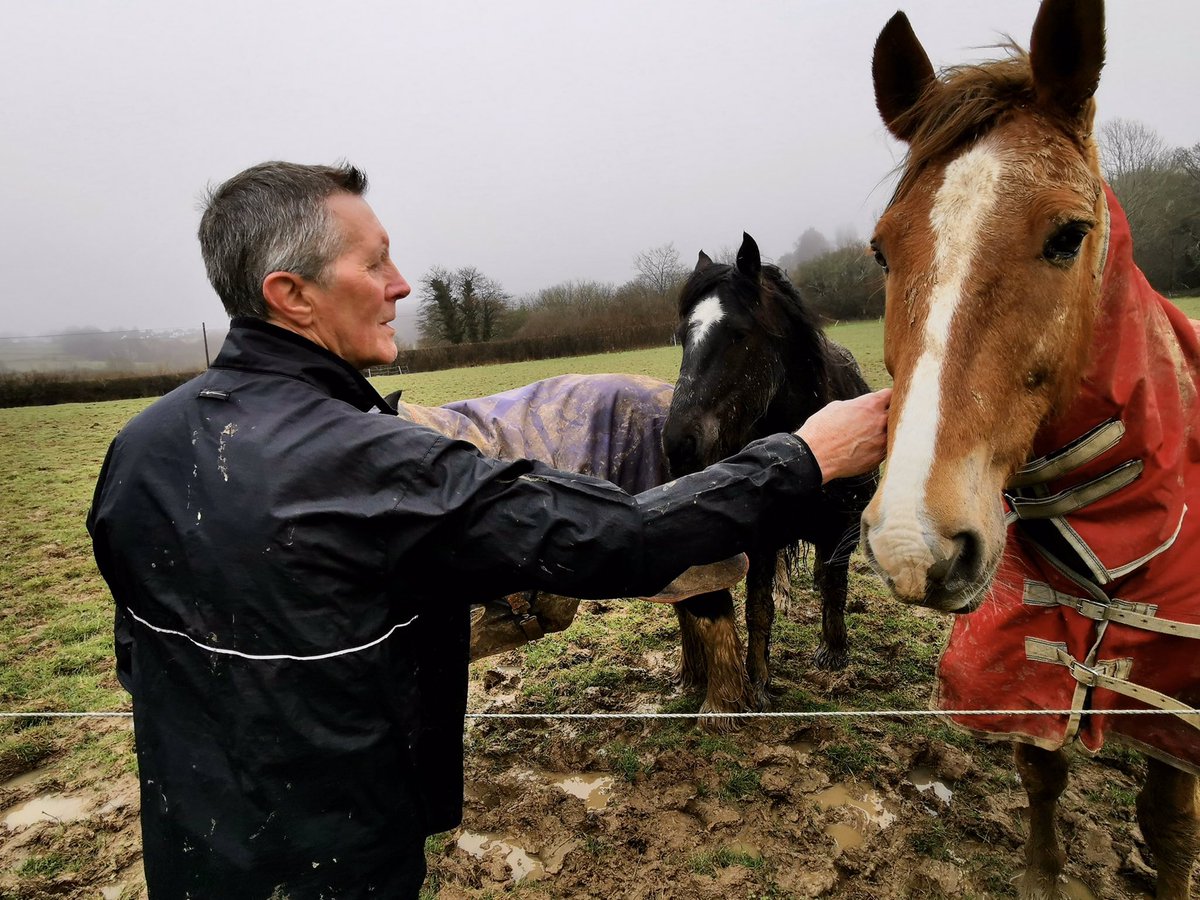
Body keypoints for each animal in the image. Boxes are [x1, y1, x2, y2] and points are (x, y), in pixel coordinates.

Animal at [662, 234, 878, 724]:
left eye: (738, 334)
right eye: (683, 337)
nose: (677, 443)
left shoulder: (839, 528)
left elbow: (835, 585)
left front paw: (834, 652)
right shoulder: (761, 540)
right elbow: (757, 611)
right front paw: (758, 680)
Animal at [864, 1, 1200, 900]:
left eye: (1069, 235)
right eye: (881, 250)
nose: (914, 543)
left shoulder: (1174, 706)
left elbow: (1170, 822)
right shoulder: (1024, 666)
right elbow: (1042, 775)